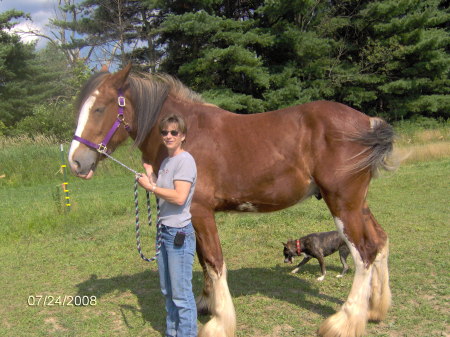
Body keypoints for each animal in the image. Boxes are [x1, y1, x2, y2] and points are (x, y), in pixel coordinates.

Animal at [67, 63, 394, 336]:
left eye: (100, 108)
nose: (76, 162)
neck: (186, 134)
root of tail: (368, 122)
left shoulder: (201, 211)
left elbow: (214, 261)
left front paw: (219, 322)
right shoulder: (193, 216)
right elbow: (201, 259)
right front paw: (205, 304)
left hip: (342, 204)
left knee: (364, 253)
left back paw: (344, 322)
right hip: (358, 204)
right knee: (380, 241)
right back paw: (375, 309)